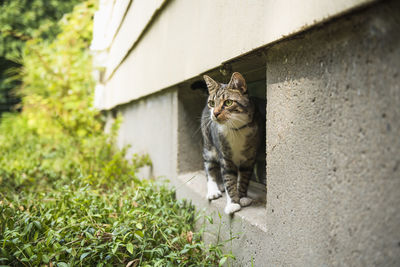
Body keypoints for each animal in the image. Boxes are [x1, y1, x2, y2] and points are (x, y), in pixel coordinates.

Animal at [202, 72, 260, 215]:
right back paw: (213, 190)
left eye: (228, 102)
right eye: (212, 103)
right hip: (208, 144)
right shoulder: (225, 157)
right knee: (209, 166)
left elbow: (244, 178)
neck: (236, 129)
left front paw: (242, 197)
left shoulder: (249, 158)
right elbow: (229, 179)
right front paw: (233, 203)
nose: (215, 113)